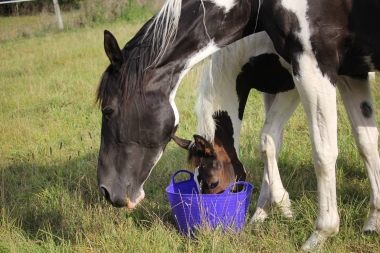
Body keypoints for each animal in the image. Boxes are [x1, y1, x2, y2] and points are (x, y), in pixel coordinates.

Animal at [97, 0, 380, 249]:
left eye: (108, 110)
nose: (108, 191)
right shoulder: (332, 75)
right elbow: (361, 141)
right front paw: (263, 213)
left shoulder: (303, 76)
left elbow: (287, 142)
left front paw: (300, 219)